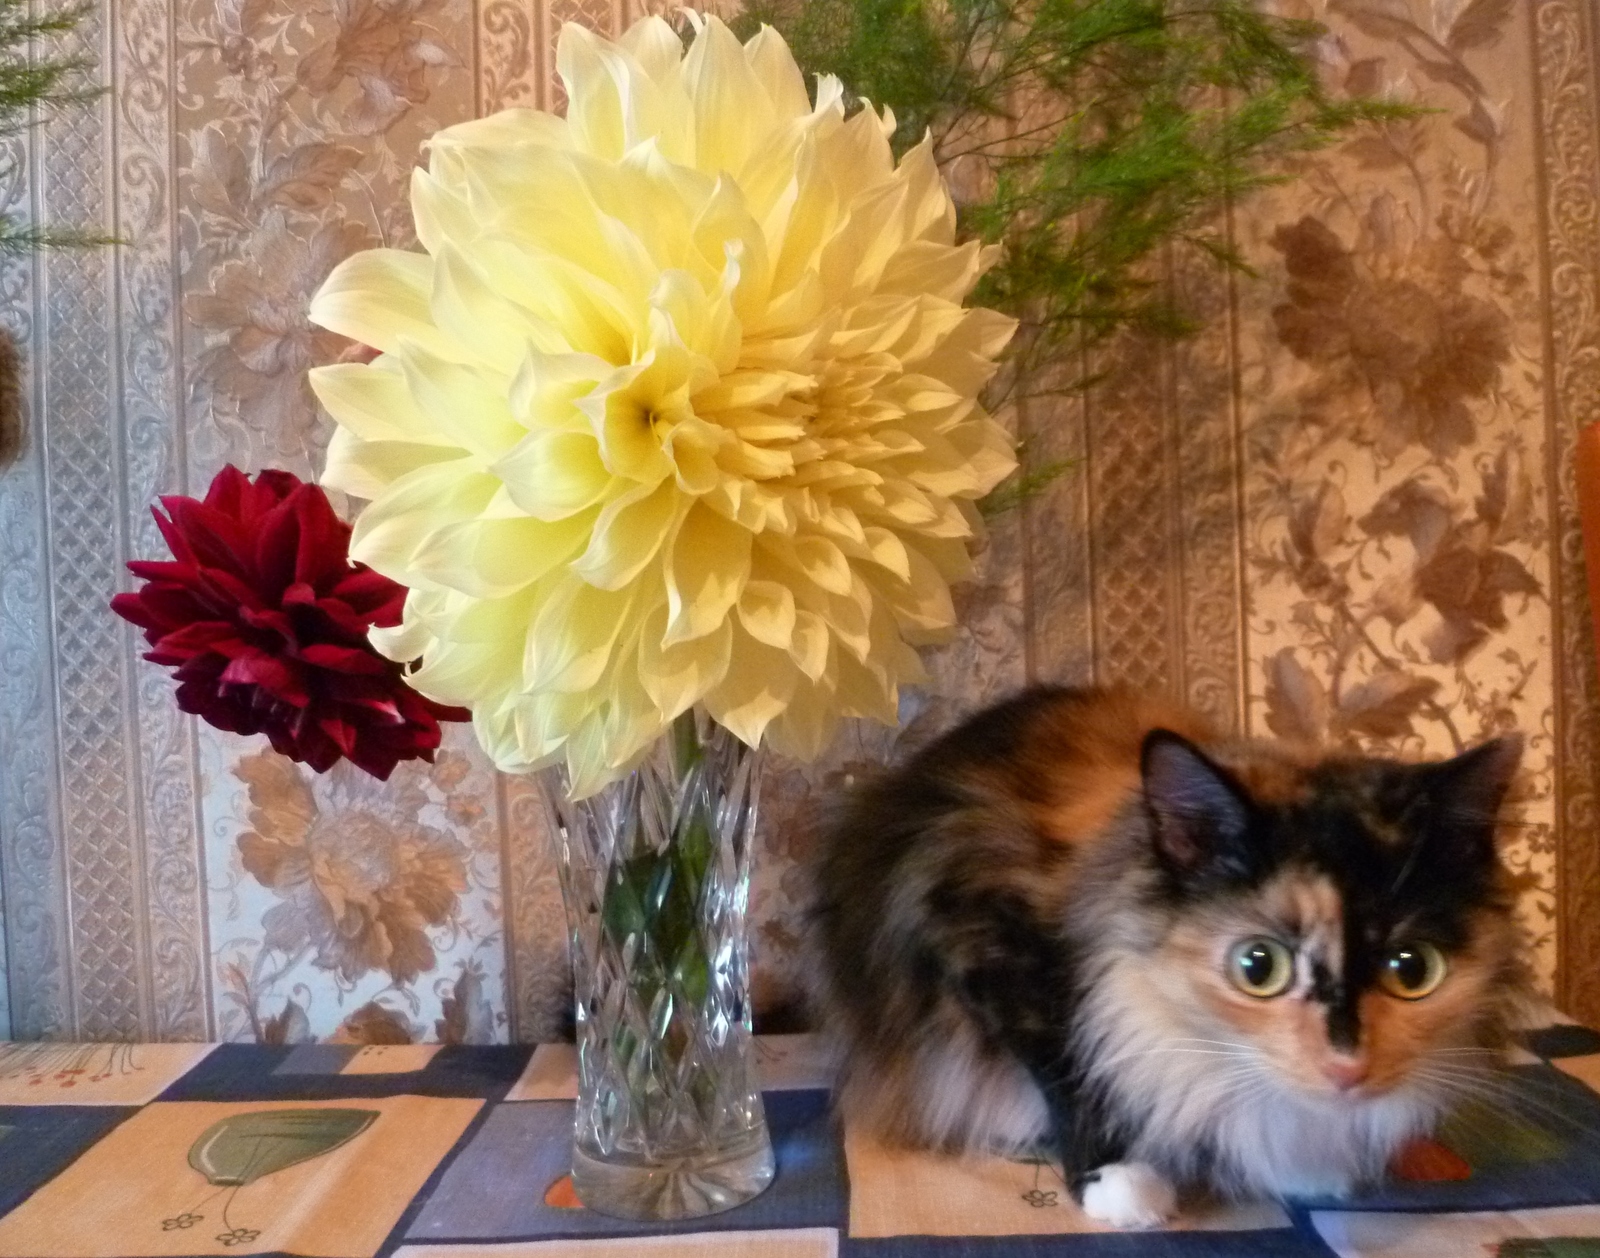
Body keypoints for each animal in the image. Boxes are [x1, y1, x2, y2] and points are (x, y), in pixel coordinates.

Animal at [812, 685, 1523, 1222]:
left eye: (1412, 968)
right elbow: (1071, 1070)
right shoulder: (985, 947)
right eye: (1258, 966)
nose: (1347, 1067)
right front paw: (1121, 1185)